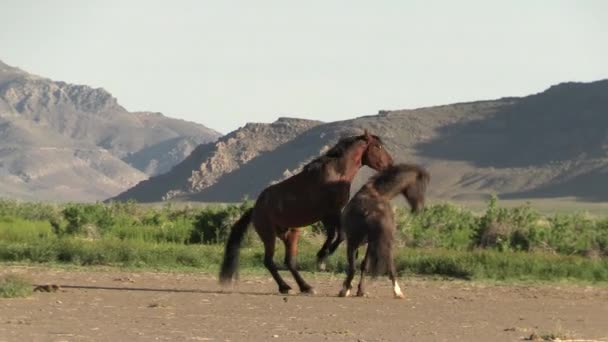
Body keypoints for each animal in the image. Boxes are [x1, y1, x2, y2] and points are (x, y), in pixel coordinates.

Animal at [220, 130, 394, 296]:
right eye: (378, 146)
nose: (391, 165)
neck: (335, 173)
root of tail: (255, 209)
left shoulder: (330, 215)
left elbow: (335, 235)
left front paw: (323, 256)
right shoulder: (330, 213)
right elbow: (339, 236)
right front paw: (323, 256)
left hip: (291, 234)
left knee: (289, 262)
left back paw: (306, 287)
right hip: (269, 235)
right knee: (269, 262)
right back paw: (285, 287)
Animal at [340, 163, 430, 300]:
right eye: (421, 186)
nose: (419, 208)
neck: (377, 192)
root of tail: (369, 211)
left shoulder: (364, 243)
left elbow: (361, 265)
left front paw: (355, 290)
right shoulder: (370, 243)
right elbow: (364, 265)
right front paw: (359, 291)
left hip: (356, 242)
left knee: (354, 267)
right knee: (387, 265)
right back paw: (397, 292)